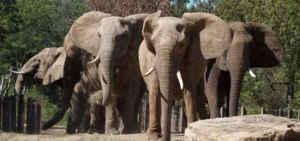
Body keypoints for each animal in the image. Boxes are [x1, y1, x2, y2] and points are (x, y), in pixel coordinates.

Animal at [138, 10, 232, 140]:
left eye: (182, 45)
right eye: (153, 43)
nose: (165, 138)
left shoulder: (192, 60)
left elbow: (189, 91)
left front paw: (190, 129)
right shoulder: (151, 58)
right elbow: (154, 90)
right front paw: (153, 136)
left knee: (199, 97)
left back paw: (202, 122)